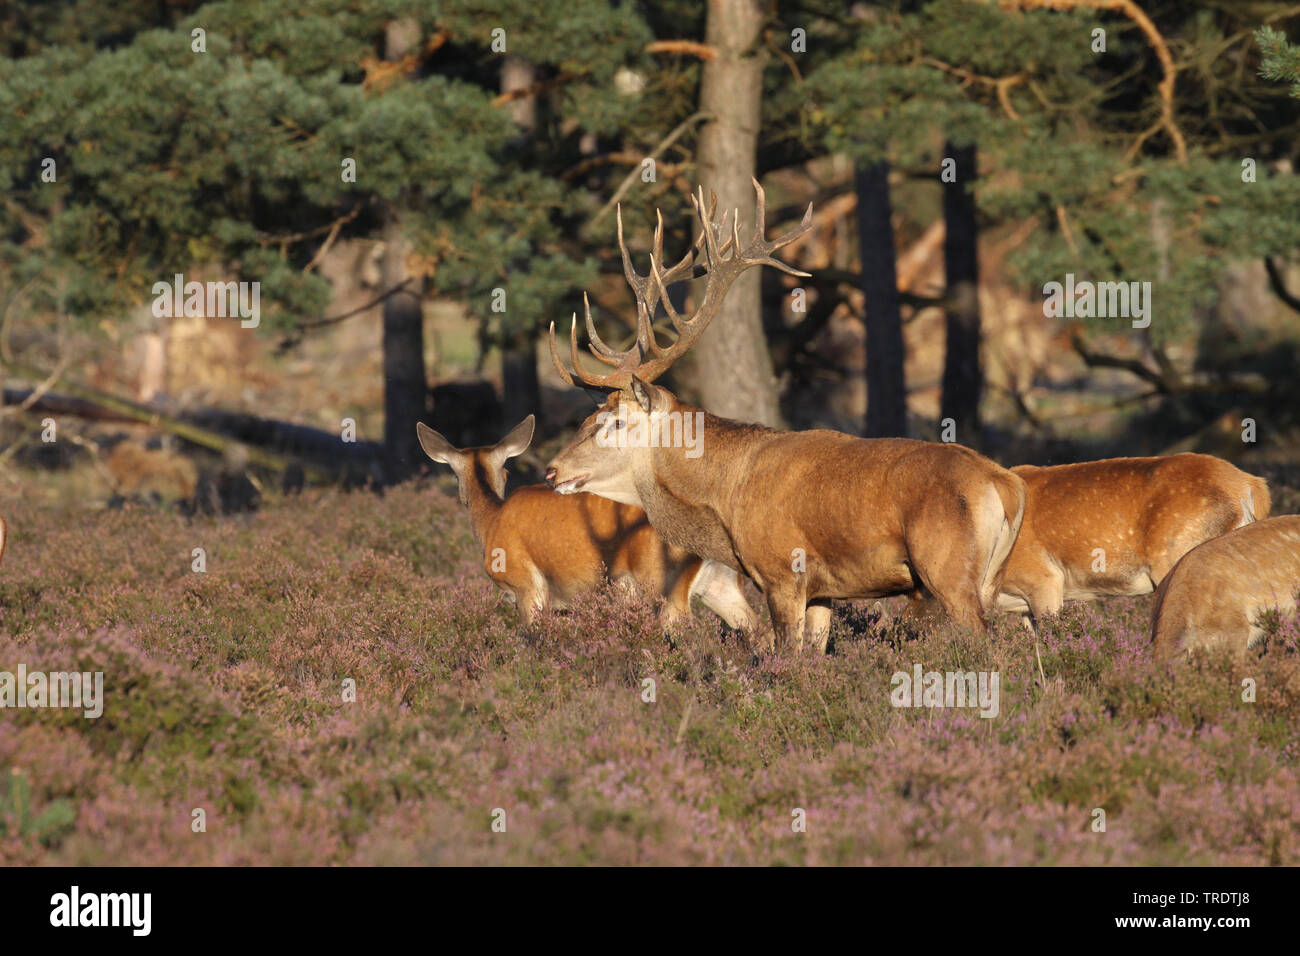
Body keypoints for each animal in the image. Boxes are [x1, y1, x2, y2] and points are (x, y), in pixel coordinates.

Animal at [416, 416, 759, 632]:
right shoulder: (564, 604)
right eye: (507, 471)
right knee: (758, 631)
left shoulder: (525, 587)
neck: (492, 521)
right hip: (720, 583)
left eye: (454, 477)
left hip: (661, 581)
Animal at [540, 179, 1024, 655]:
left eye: (616, 421)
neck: (726, 499)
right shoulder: (824, 590)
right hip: (990, 578)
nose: (551, 470)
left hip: (947, 568)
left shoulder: (781, 571)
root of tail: (1003, 483)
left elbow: (785, 656)